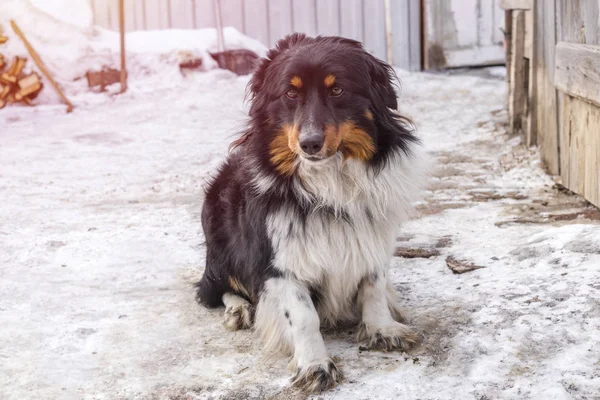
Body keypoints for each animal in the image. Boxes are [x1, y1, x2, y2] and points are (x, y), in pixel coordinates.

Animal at [195, 32, 424, 394]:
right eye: (290, 93)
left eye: (338, 90)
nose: (310, 143)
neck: (329, 183)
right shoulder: (280, 261)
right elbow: (303, 316)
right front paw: (315, 365)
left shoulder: (373, 239)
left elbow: (373, 287)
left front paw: (382, 329)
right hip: (219, 245)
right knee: (216, 289)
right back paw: (239, 309)